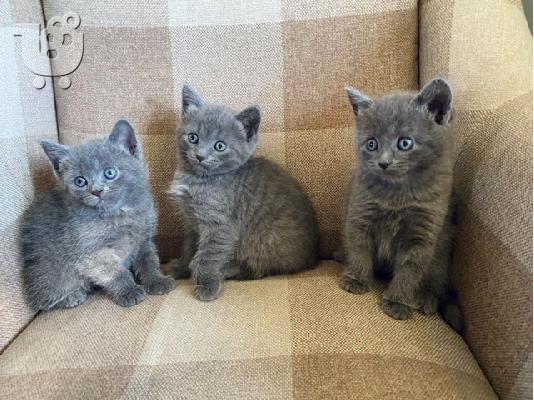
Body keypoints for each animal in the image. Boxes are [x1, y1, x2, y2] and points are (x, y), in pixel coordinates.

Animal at [21, 120, 176, 310]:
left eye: (110, 172)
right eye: (80, 181)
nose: (96, 191)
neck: (119, 214)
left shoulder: (144, 238)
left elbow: (149, 259)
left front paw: (157, 280)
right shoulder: (89, 250)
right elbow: (112, 271)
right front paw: (129, 291)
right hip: (48, 267)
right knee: (43, 298)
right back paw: (71, 297)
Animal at [169, 86, 318, 302]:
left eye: (220, 146)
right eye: (193, 137)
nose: (200, 156)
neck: (199, 180)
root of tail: (313, 256)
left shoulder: (220, 226)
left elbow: (207, 257)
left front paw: (207, 284)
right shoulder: (191, 223)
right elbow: (189, 247)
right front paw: (181, 267)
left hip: (263, 241)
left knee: (259, 269)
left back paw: (227, 270)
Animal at [344, 77, 464, 332]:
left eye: (405, 143)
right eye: (371, 144)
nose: (383, 162)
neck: (396, 194)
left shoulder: (424, 231)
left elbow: (411, 268)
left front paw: (398, 302)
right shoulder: (360, 213)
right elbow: (358, 248)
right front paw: (355, 278)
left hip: (442, 252)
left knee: (436, 281)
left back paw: (426, 299)